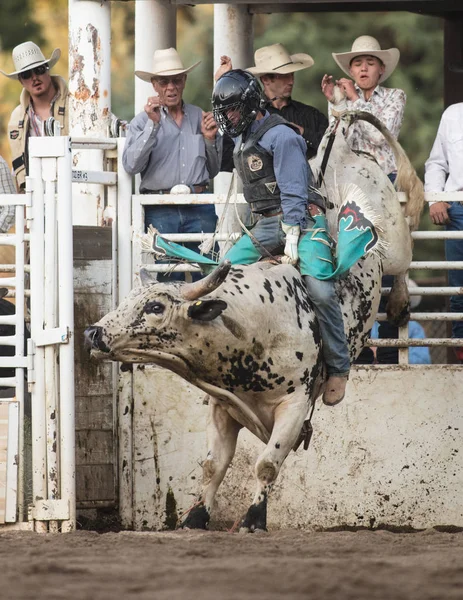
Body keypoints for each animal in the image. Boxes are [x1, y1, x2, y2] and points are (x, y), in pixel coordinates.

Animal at [85, 110, 426, 532]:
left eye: (156, 308)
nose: (94, 333)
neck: (253, 326)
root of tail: (340, 147)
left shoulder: (294, 406)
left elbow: (266, 465)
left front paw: (253, 518)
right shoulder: (223, 407)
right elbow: (213, 466)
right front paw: (196, 515)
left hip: (393, 239)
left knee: (404, 258)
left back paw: (399, 303)